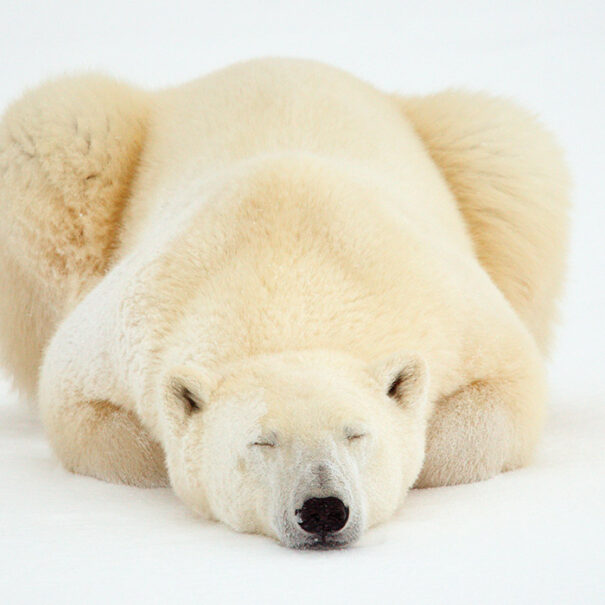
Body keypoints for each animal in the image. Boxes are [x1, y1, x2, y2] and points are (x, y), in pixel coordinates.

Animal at [0, 60, 568, 548]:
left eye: (356, 433)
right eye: (262, 442)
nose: (322, 509)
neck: (289, 285)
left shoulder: (443, 303)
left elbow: (505, 395)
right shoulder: (134, 320)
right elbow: (76, 405)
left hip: (476, 156)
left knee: (508, 159)